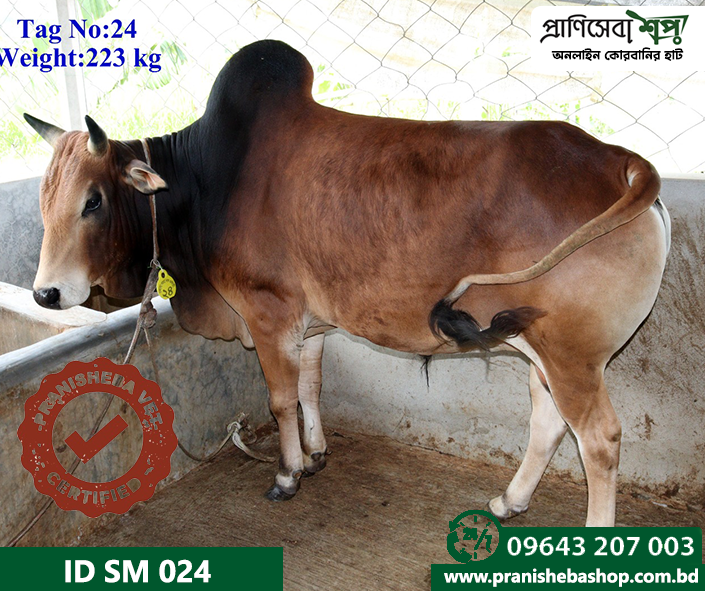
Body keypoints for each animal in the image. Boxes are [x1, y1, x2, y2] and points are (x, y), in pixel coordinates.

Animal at [25, 39, 670, 527]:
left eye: (94, 200)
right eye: (44, 199)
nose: (46, 294)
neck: (207, 182)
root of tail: (619, 160)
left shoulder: (268, 312)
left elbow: (281, 398)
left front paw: (286, 474)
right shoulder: (310, 325)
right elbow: (311, 388)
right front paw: (315, 454)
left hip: (572, 357)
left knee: (600, 440)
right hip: (543, 348)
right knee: (548, 422)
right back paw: (508, 501)